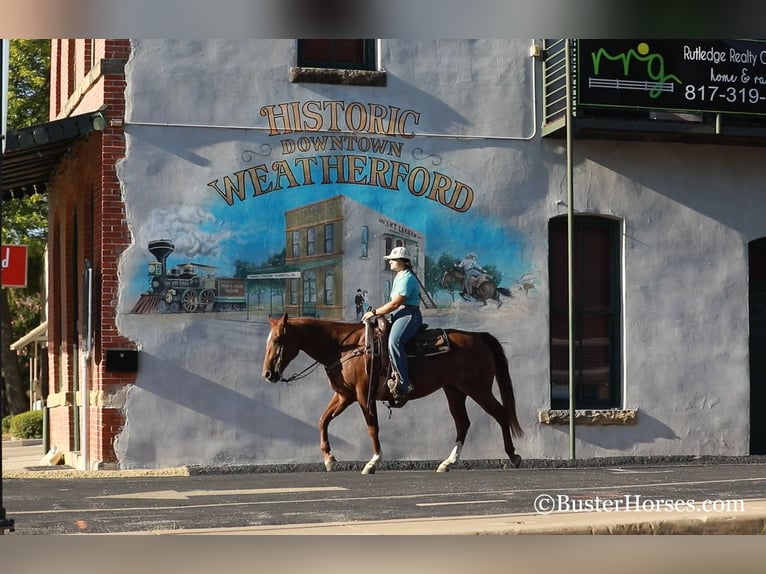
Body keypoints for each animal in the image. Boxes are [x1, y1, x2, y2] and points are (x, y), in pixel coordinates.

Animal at [260, 316, 524, 476]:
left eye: (278, 339)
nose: (268, 374)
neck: (345, 347)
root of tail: (479, 336)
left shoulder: (362, 395)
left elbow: (372, 427)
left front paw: (373, 462)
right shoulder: (345, 396)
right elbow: (323, 420)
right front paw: (329, 459)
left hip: (478, 389)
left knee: (501, 414)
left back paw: (513, 456)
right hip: (454, 391)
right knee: (463, 423)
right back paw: (447, 463)